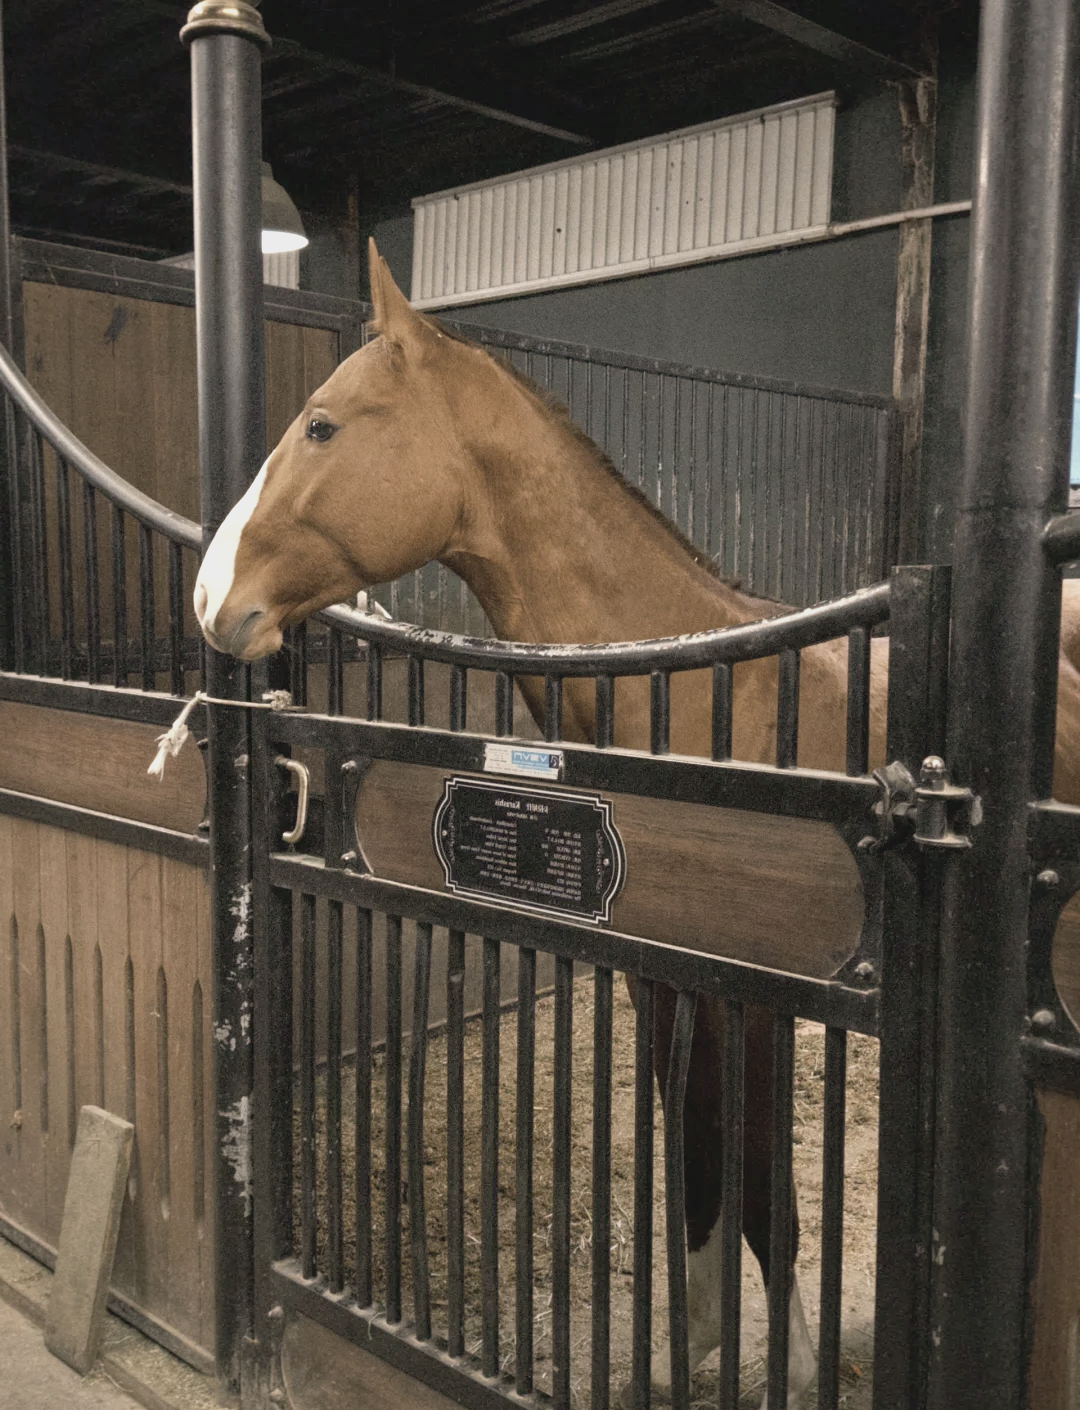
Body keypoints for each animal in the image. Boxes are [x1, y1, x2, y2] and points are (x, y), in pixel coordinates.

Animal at [194, 242, 1080, 1398]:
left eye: (321, 425)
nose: (210, 598)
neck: (705, 696)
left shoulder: (760, 1002)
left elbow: (764, 1188)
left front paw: (791, 1370)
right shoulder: (662, 980)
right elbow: (693, 1151)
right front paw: (687, 1345)